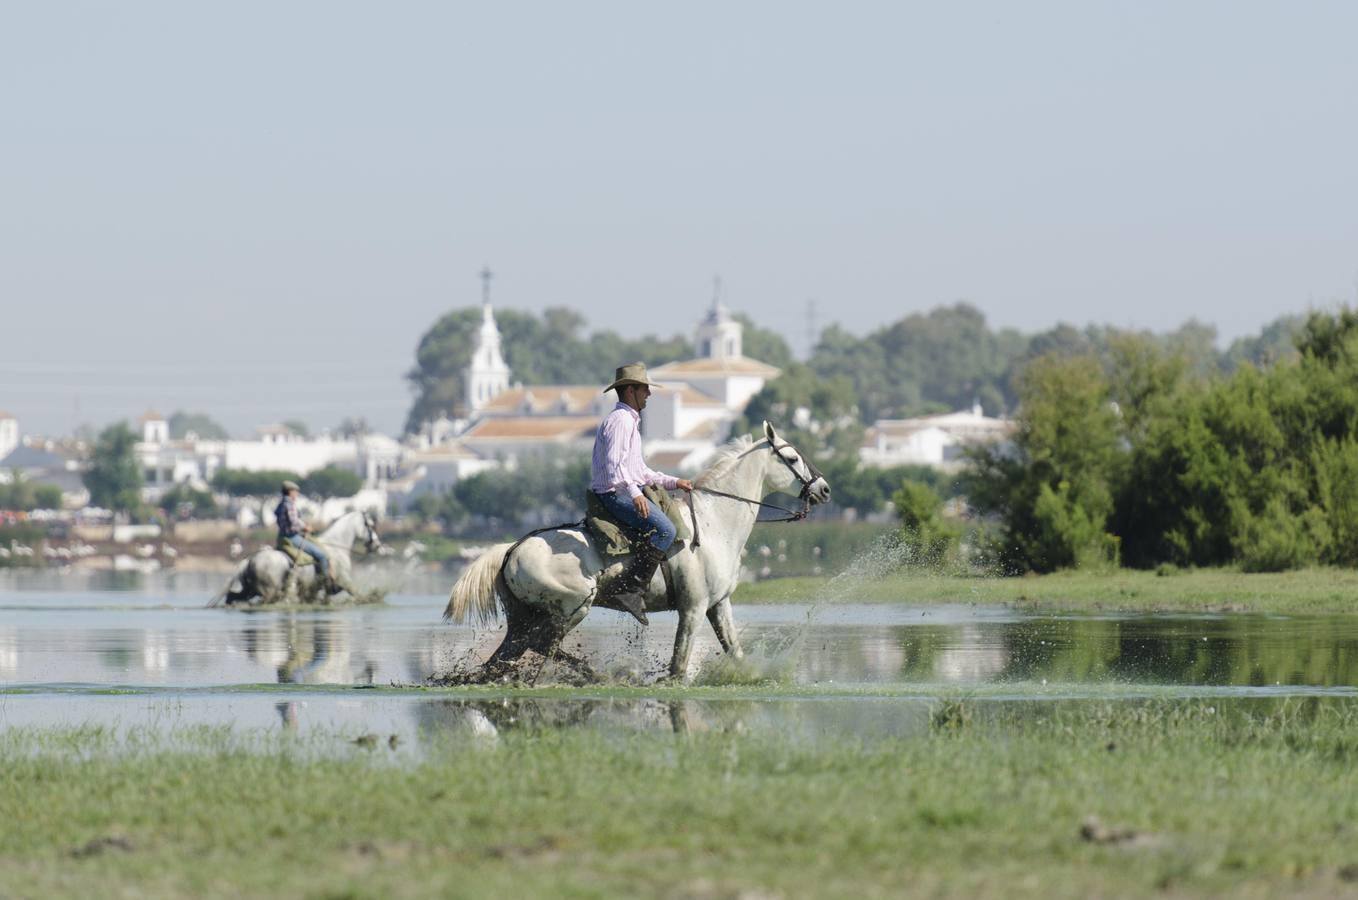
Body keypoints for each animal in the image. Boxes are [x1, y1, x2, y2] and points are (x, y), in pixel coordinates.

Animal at [211, 510, 382, 608]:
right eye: (370, 525)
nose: (377, 545)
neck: (337, 547)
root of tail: (250, 560)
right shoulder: (344, 581)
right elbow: (358, 594)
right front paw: (371, 598)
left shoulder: (314, 590)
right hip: (267, 592)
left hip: (250, 590)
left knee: (231, 596)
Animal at [448, 426, 825, 678]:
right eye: (792, 457)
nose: (823, 489)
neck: (714, 522)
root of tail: (512, 549)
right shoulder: (693, 608)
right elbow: (678, 666)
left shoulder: (718, 604)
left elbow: (735, 652)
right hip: (573, 607)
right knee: (543, 646)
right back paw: (589, 674)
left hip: (524, 617)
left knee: (510, 652)